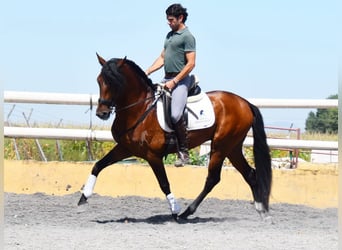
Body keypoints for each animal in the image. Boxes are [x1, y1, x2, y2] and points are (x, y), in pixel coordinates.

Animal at [78, 53, 272, 220]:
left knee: (212, 179)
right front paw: (83, 197)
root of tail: (245, 102)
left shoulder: (153, 156)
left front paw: (175, 210)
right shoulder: (125, 148)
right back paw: (261, 211)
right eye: (99, 81)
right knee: (250, 174)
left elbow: (164, 183)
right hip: (233, 148)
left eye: (115, 83)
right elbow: (98, 165)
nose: (102, 113)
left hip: (220, 146)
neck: (140, 109)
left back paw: (186, 212)